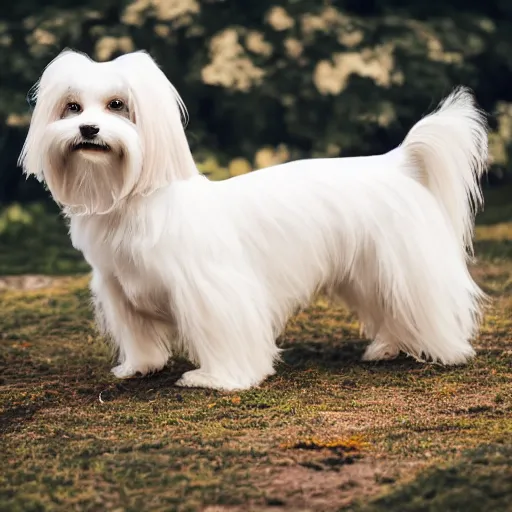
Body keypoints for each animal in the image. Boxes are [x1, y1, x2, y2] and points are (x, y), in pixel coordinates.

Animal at [20, 50, 490, 390]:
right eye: (71, 107)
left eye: (117, 105)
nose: (88, 129)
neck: (135, 205)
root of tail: (397, 163)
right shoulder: (119, 289)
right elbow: (139, 338)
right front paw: (139, 367)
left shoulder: (211, 288)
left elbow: (223, 334)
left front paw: (217, 380)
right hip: (369, 273)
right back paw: (389, 347)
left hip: (402, 267)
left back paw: (446, 350)